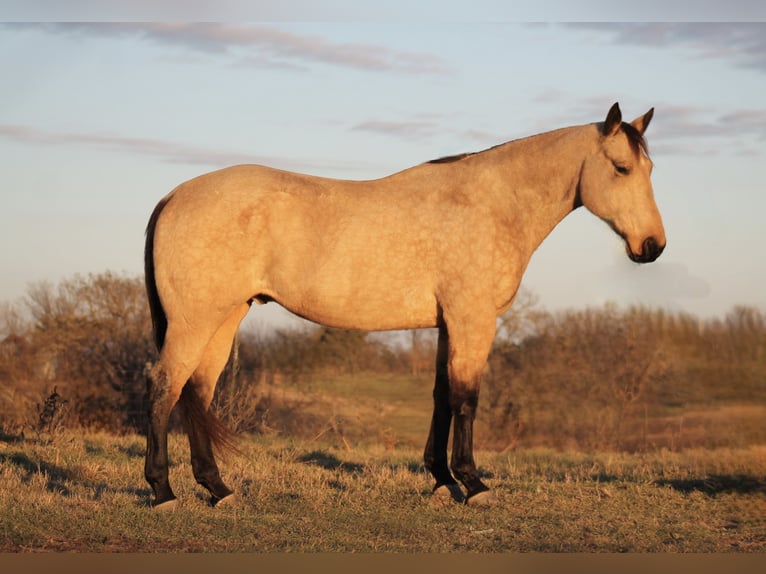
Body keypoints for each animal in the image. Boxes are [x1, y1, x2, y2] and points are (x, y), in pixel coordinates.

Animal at [143, 102, 665, 510]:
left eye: (650, 170)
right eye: (621, 168)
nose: (653, 246)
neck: (492, 204)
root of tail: (173, 196)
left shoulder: (447, 324)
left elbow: (441, 395)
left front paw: (442, 481)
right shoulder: (473, 319)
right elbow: (467, 397)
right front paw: (474, 484)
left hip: (224, 317)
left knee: (195, 392)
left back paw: (218, 490)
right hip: (196, 320)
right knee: (165, 384)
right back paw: (163, 492)